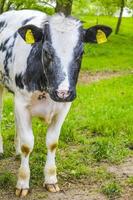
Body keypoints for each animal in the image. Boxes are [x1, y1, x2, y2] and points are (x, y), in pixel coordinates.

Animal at [0, 9, 112, 197]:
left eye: (81, 53)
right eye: (46, 52)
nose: (63, 92)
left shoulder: (64, 106)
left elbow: (52, 142)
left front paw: (51, 179)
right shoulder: (22, 102)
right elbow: (27, 144)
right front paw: (22, 183)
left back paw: (15, 151)